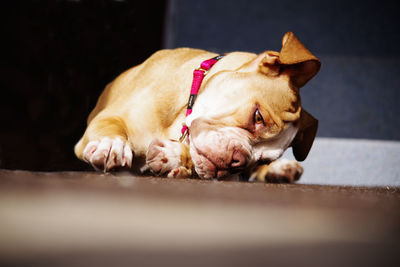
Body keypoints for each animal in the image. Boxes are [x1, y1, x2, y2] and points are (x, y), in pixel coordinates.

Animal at [75, 30, 320, 182]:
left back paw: (282, 169)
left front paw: (175, 157)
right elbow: (109, 126)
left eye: (264, 159)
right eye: (257, 117)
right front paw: (110, 145)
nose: (238, 162)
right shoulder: (111, 117)